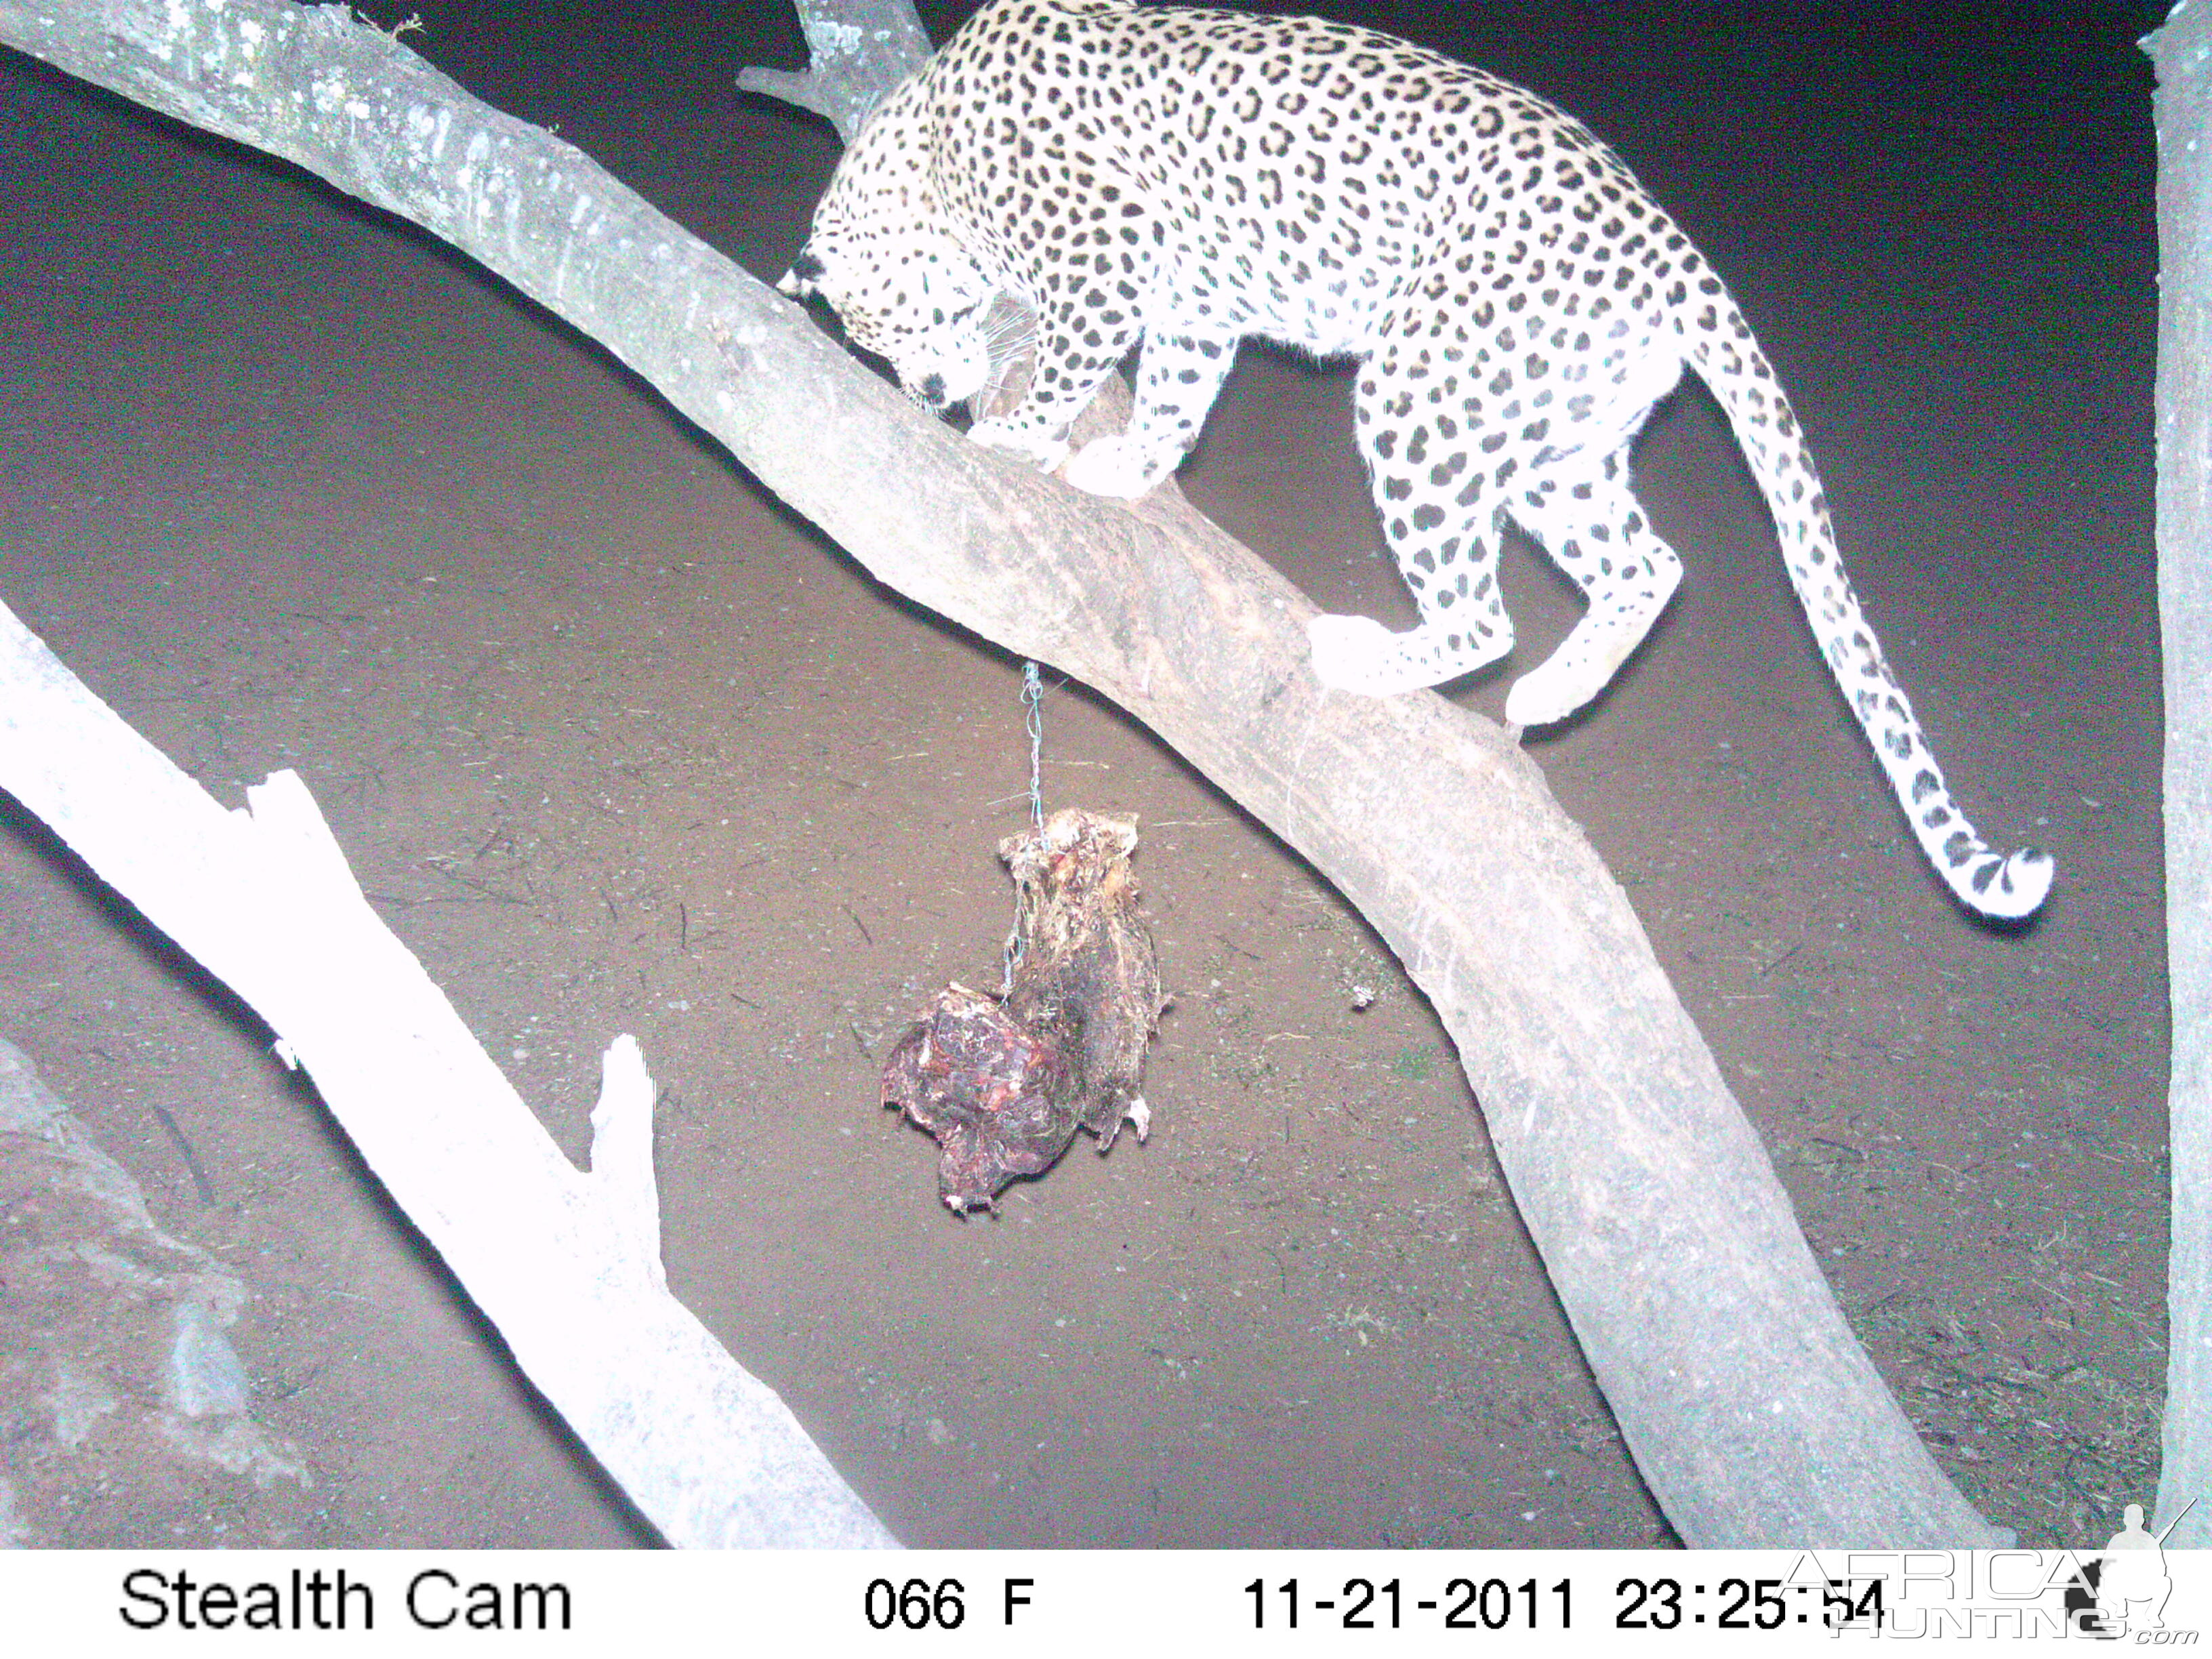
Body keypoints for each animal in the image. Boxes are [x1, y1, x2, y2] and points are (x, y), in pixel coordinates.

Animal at [783, 0, 2052, 924]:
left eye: (881, 338)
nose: (922, 393)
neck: (929, 143)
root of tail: (1671, 250)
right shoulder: (1192, 302)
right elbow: (1177, 396)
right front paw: (1127, 465)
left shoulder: (1105, 252)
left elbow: (1071, 359)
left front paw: (1011, 433)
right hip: (1550, 442)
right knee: (1648, 566)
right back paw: (1553, 691)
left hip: (1417, 391)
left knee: (1487, 614)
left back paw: (1376, 658)